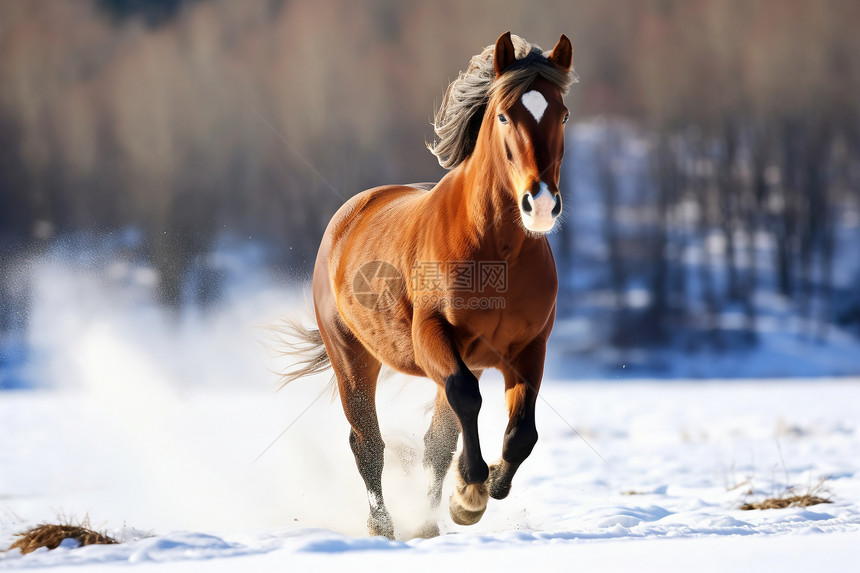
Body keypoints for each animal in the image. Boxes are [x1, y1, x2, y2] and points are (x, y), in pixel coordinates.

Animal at [282, 31, 576, 540]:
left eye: (561, 113)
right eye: (504, 115)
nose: (539, 204)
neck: (496, 250)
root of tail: (350, 213)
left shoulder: (528, 347)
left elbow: (519, 433)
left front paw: (478, 492)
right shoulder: (432, 335)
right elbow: (465, 398)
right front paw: (470, 490)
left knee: (436, 437)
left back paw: (426, 522)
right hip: (353, 358)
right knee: (367, 441)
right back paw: (383, 525)